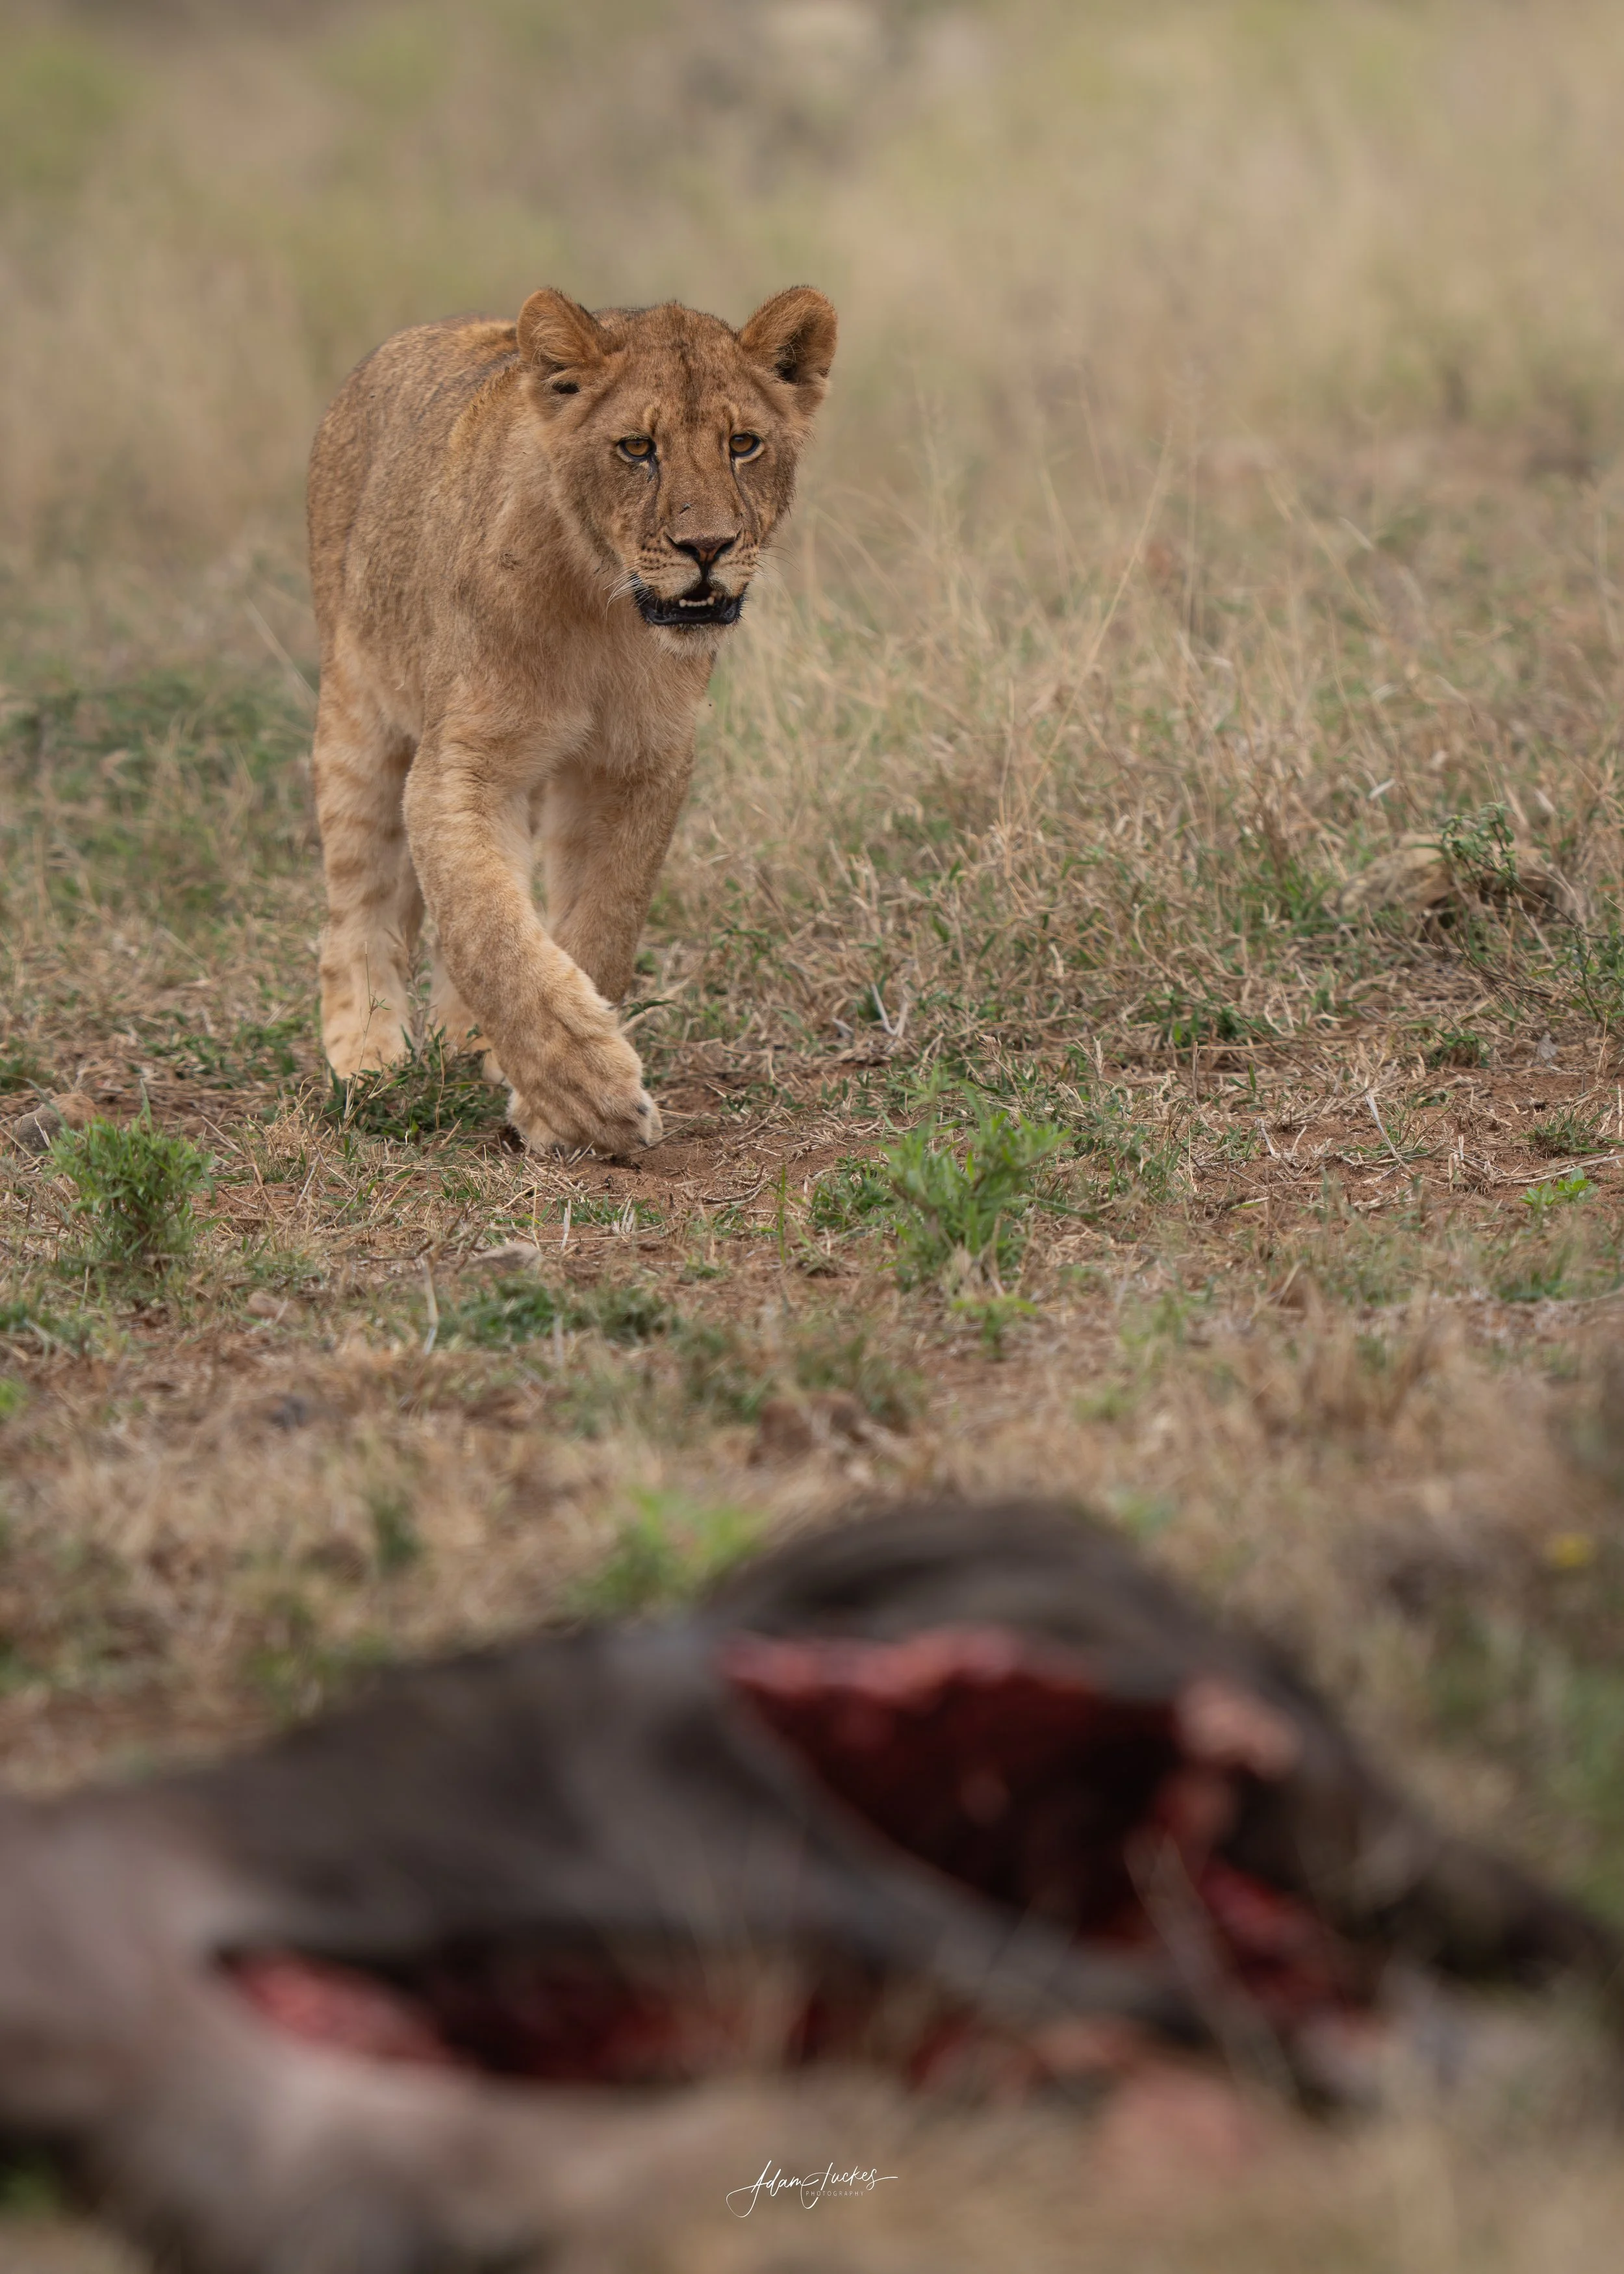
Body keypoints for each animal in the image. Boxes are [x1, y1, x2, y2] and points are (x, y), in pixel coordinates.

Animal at [306, 285, 837, 1153]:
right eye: (636, 448)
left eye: (743, 444)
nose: (706, 546)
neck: (603, 608)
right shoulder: (459, 765)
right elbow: (488, 929)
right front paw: (588, 1095)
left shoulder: (639, 763)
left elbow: (600, 924)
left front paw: (556, 1095)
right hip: (357, 711)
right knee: (359, 899)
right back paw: (367, 1054)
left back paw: (472, 1042)